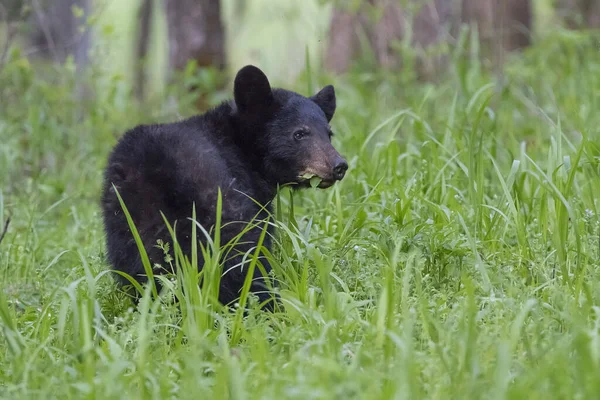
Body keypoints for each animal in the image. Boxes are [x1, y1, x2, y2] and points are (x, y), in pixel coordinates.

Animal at [101, 65, 346, 310]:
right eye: (299, 133)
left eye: (329, 134)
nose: (339, 165)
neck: (241, 146)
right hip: (220, 210)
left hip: (127, 226)